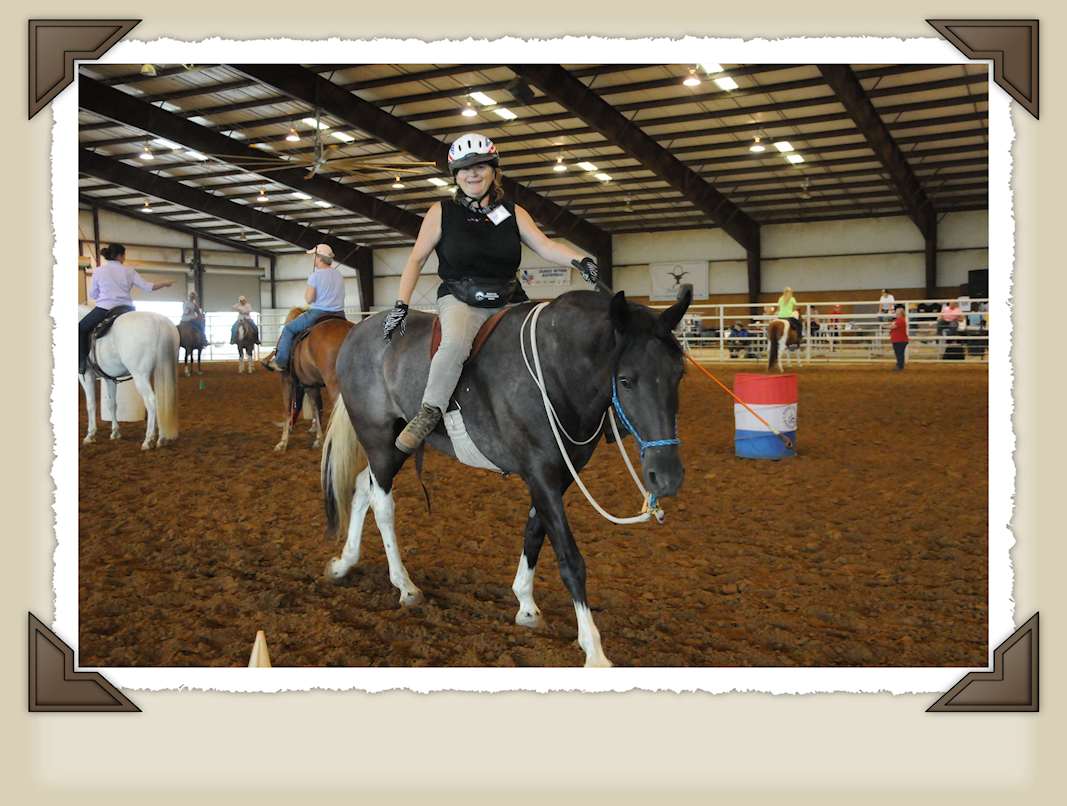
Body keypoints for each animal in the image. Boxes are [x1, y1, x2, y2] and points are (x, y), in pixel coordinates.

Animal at [78, 305, 180, 450]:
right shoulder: (109, 378)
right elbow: (112, 404)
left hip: (140, 376)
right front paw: (115, 432)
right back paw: (161, 439)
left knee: (151, 401)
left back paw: (148, 440)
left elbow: (91, 404)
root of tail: (159, 321)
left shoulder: (86, 376)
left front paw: (90, 435)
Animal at [273, 305, 352, 450]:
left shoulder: (287, 380)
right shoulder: (310, 384)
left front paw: (282, 442)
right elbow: (317, 408)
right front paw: (318, 438)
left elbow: (287, 409)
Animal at [315, 286, 691, 666]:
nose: (667, 476)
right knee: (382, 504)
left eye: (678, 375)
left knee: (362, 487)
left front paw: (525, 605)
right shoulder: (541, 474)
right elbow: (570, 558)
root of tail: (357, 334)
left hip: (396, 445)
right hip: (380, 440)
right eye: (626, 381)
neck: (555, 370)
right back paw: (405, 586)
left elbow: (535, 532)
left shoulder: (558, 477)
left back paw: (344, 563)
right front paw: (594, 650)